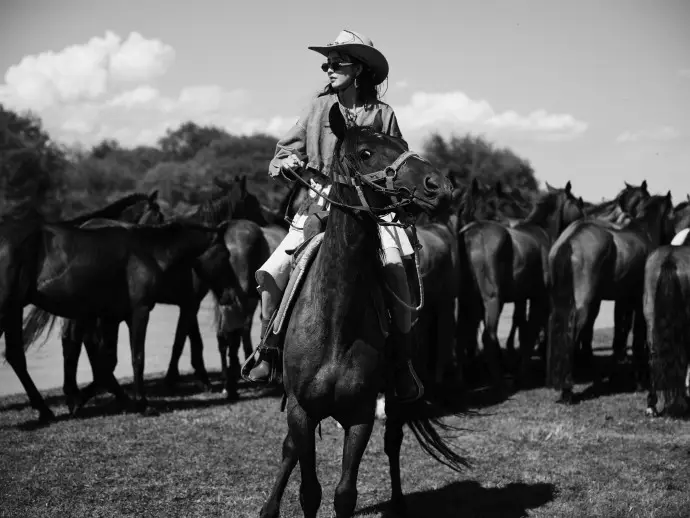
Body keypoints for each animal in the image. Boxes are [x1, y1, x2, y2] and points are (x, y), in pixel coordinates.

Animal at [4, 217, 235, 422]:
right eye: (226, 254)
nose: (230, 295)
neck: (148, 251)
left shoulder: (112, 316)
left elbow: (107, 362)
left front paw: (78, 400)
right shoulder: (140, 312)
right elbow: (137, 357)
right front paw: (143, 404)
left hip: (18, 310)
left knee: (21, 355)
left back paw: (47, 409)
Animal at [256, 105, 466, 518]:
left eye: (402, 143)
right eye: (366, 153)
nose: (438, 186)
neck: (336, 322)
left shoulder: (360, 415)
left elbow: (344, 494)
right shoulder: (301, 411)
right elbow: (309, 489)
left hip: (398, 395)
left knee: (394, 441)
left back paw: (399, 503)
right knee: (290, 450)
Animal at [455, 180, 585, 390]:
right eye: (577, 204)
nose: (584, 220)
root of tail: (470, 234)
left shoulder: (523, 298)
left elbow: (523, 328)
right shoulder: (539, 298)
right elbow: (530, 332)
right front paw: (522, 374)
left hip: (467, 299)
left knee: (460, 336)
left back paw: (462, 380)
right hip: (492, 300)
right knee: (487, 337)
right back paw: (498, 381)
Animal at [547, 193, 676, 404]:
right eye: (673, 215)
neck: (644, 232)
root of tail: (569, 241)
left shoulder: (624, 300)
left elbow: (621, 332)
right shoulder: (638, 302)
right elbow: (637, 338)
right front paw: (639, 381)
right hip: (583, 305)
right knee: (572, 333)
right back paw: (567, 390)